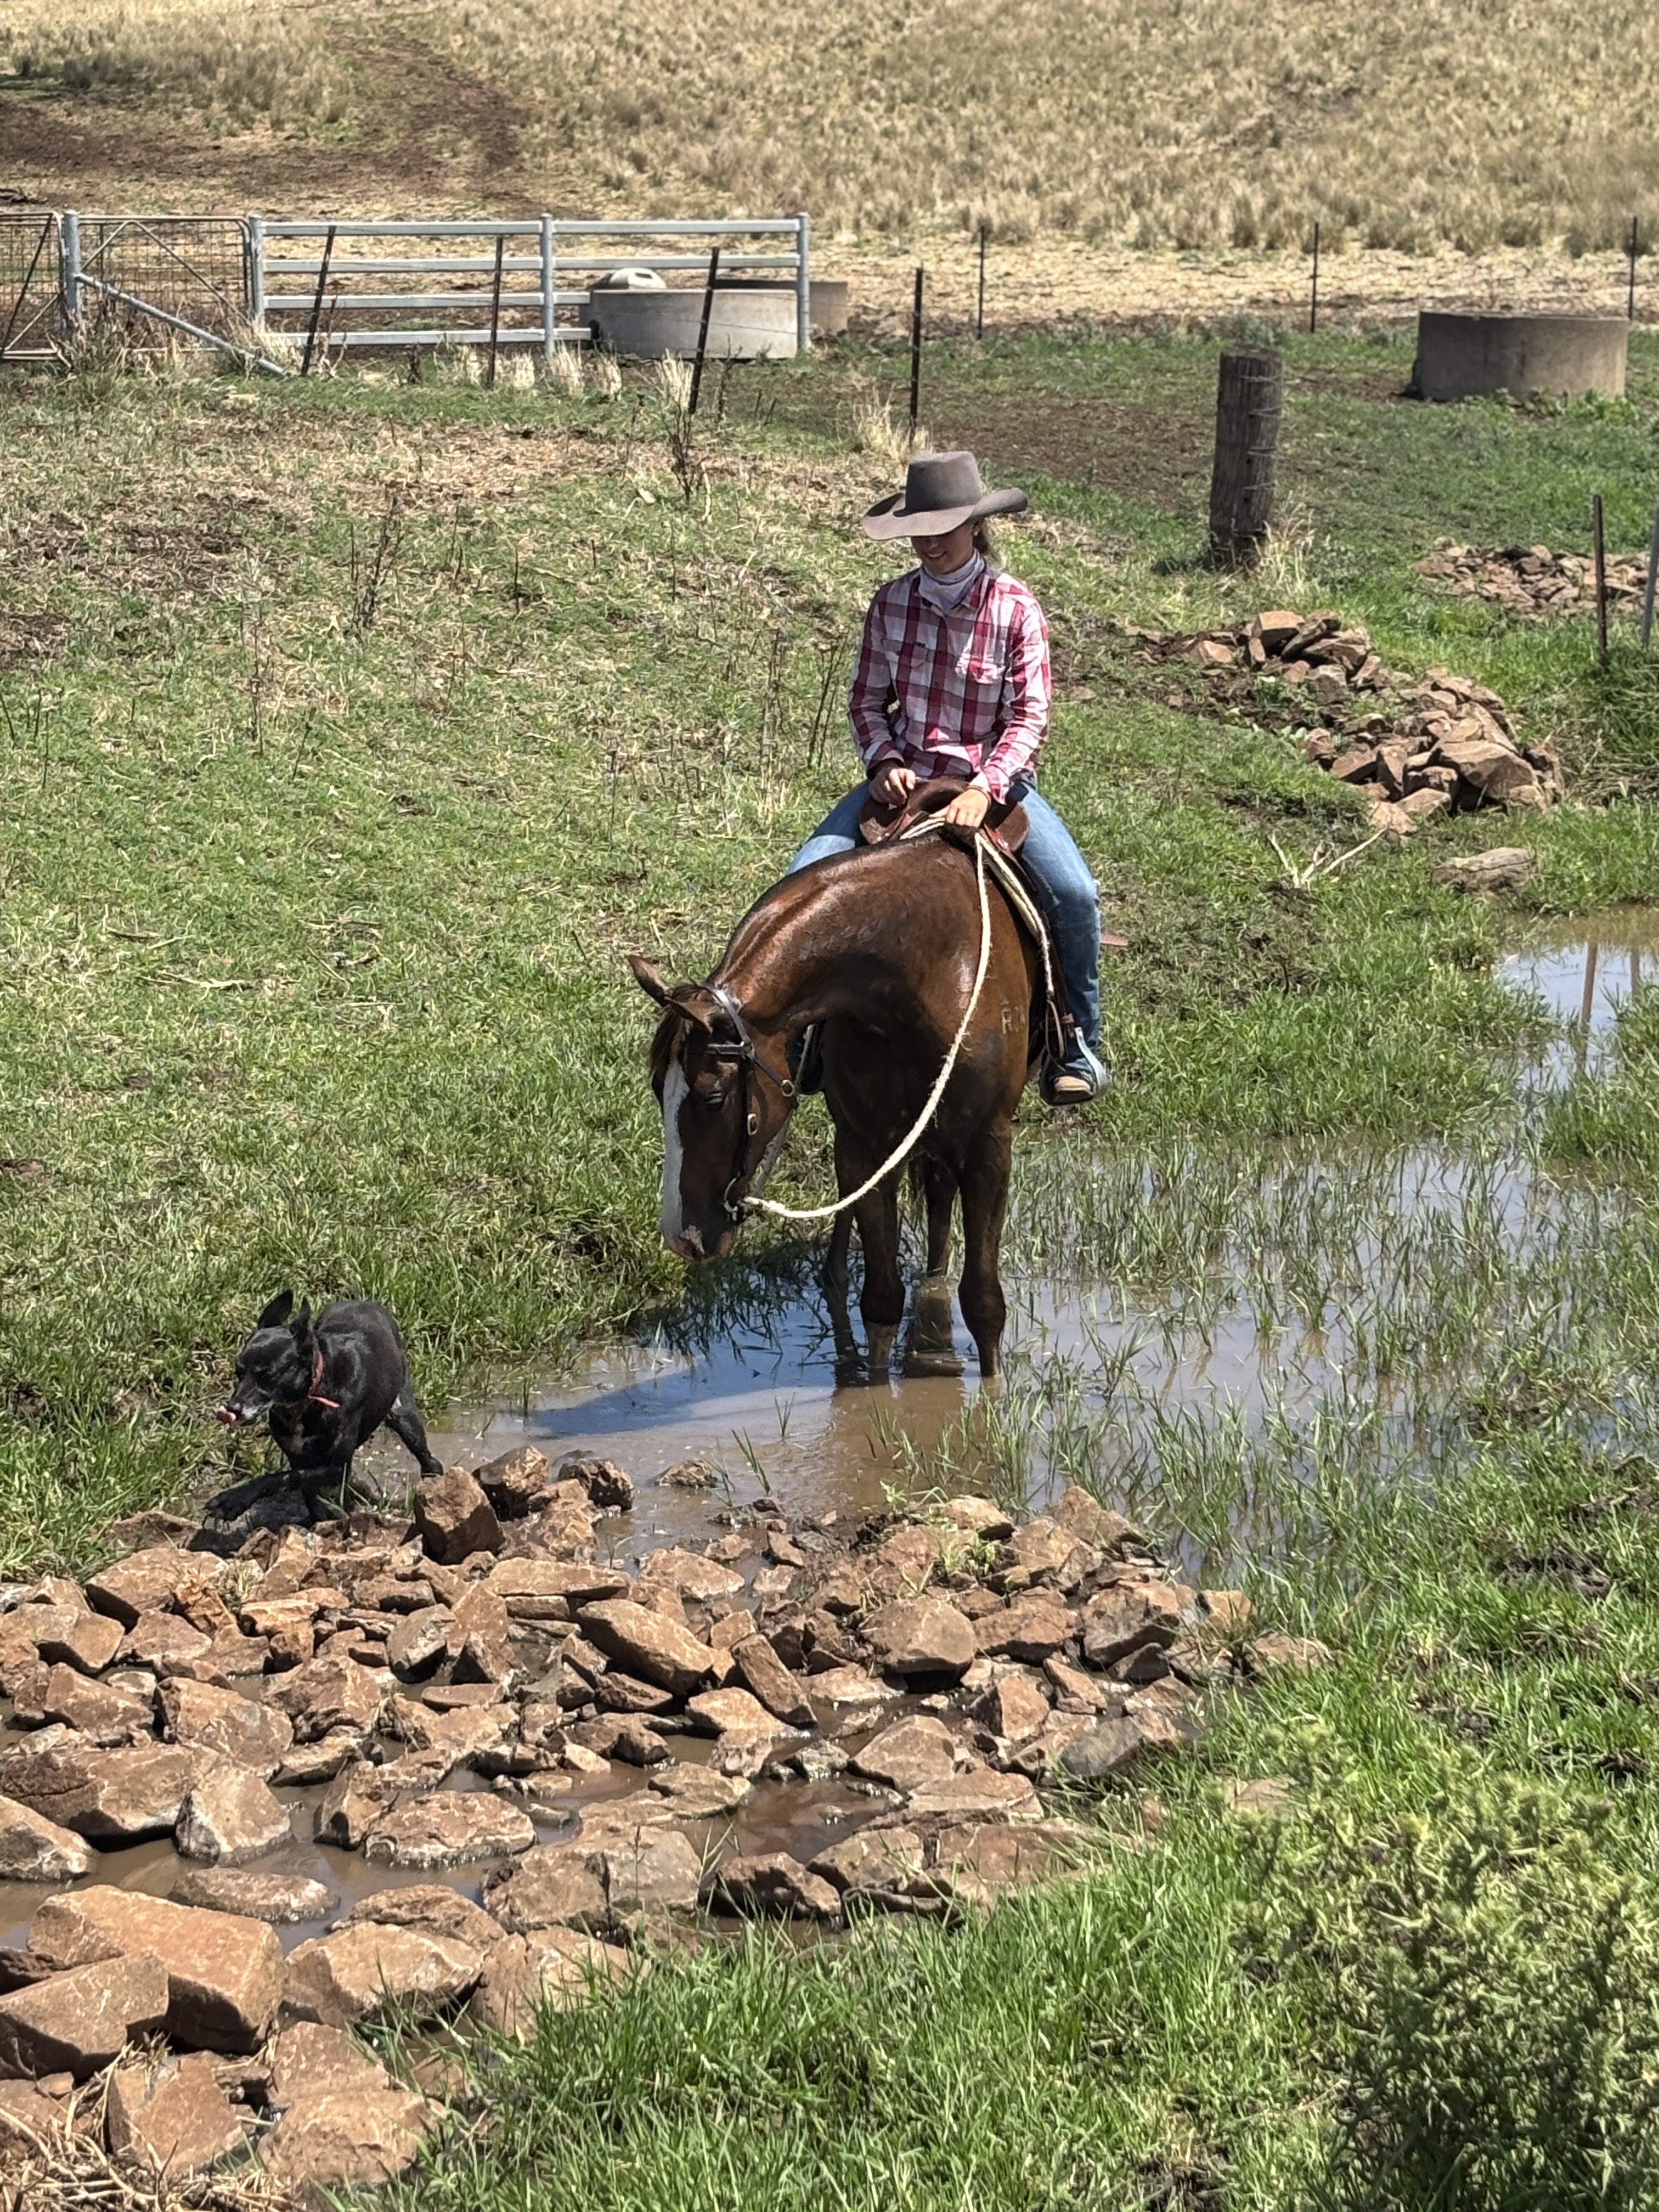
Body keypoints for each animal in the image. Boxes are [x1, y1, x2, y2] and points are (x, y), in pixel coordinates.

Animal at [217, 1291, 442, 1503]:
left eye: (268, 1376)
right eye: (238, 1372)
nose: (233, 1410)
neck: (307, 1400)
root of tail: (365, 1302)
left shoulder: (336, 1468)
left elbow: (282, 1478)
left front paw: (236, 1498)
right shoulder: (299, 1460)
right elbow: (301, 1488)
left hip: (404, 1416)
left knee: (429, 1460)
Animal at [628, 825, 1040, 1378]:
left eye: (712, 1097)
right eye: (658, 1089)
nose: (682, 1237)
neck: (927, 970)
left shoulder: (989, 1144)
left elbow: (983, 1304)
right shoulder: (865, 1143)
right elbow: (882, 1301)